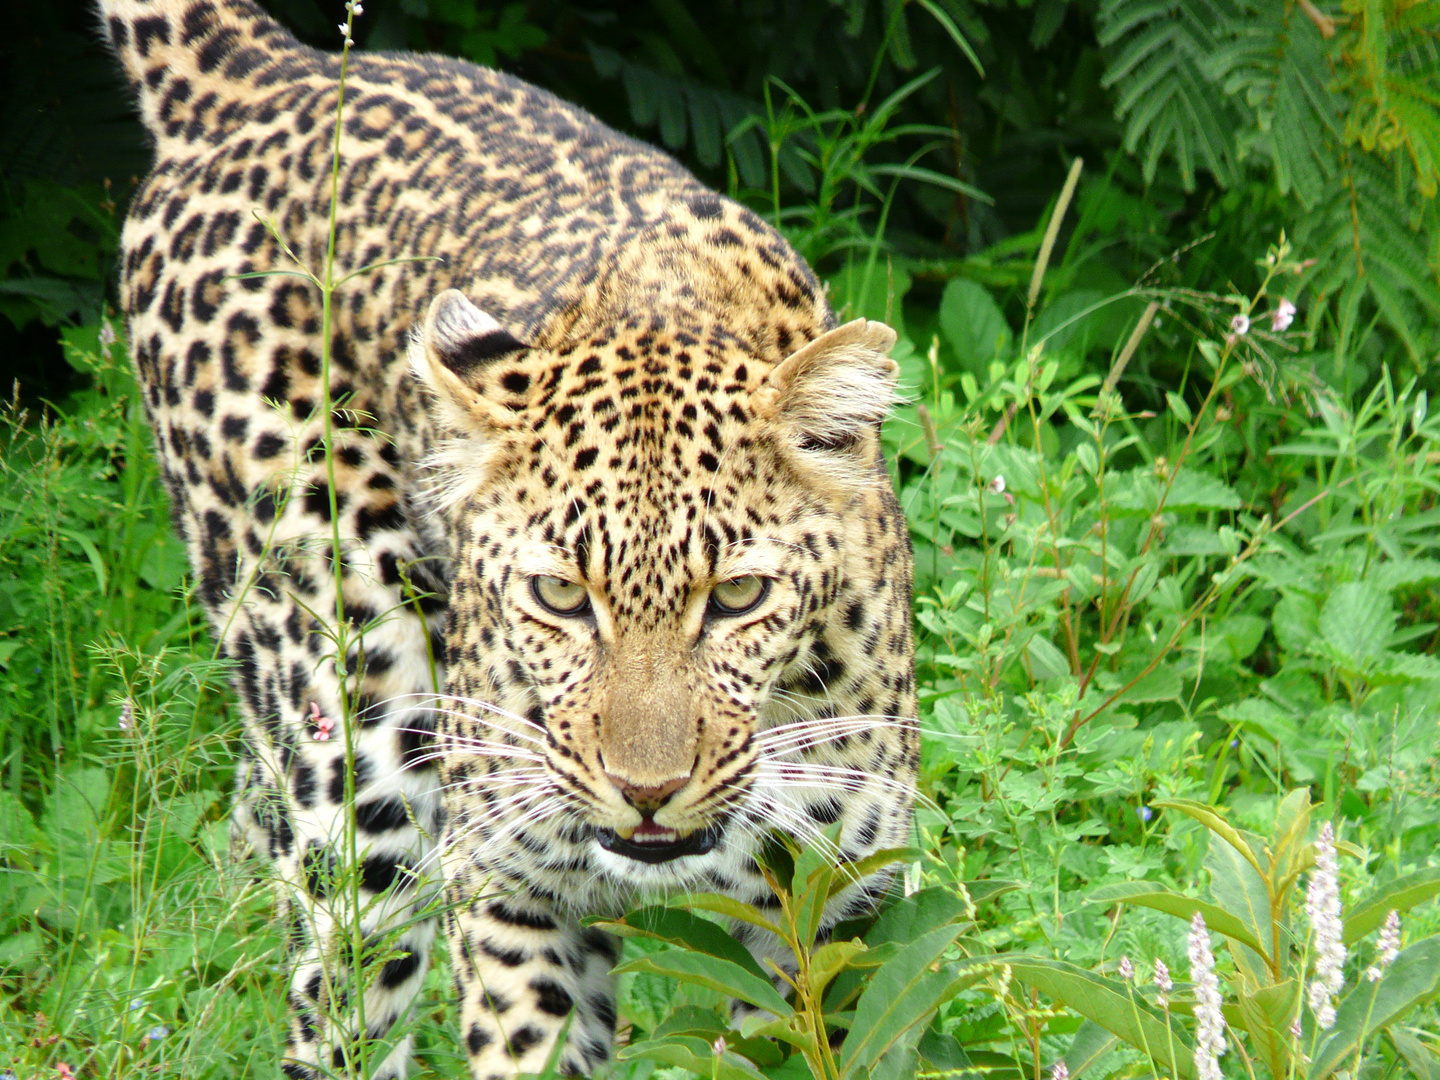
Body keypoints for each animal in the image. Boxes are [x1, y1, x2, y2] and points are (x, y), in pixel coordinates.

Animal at [98, 0, 910, 1077]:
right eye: (560, 595)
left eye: (737, 596)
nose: (646, 793)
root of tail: (278, 70)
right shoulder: (511, 887)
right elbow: (532, 1038)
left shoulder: (837, 908)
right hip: (357, 714)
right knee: (339, 987)